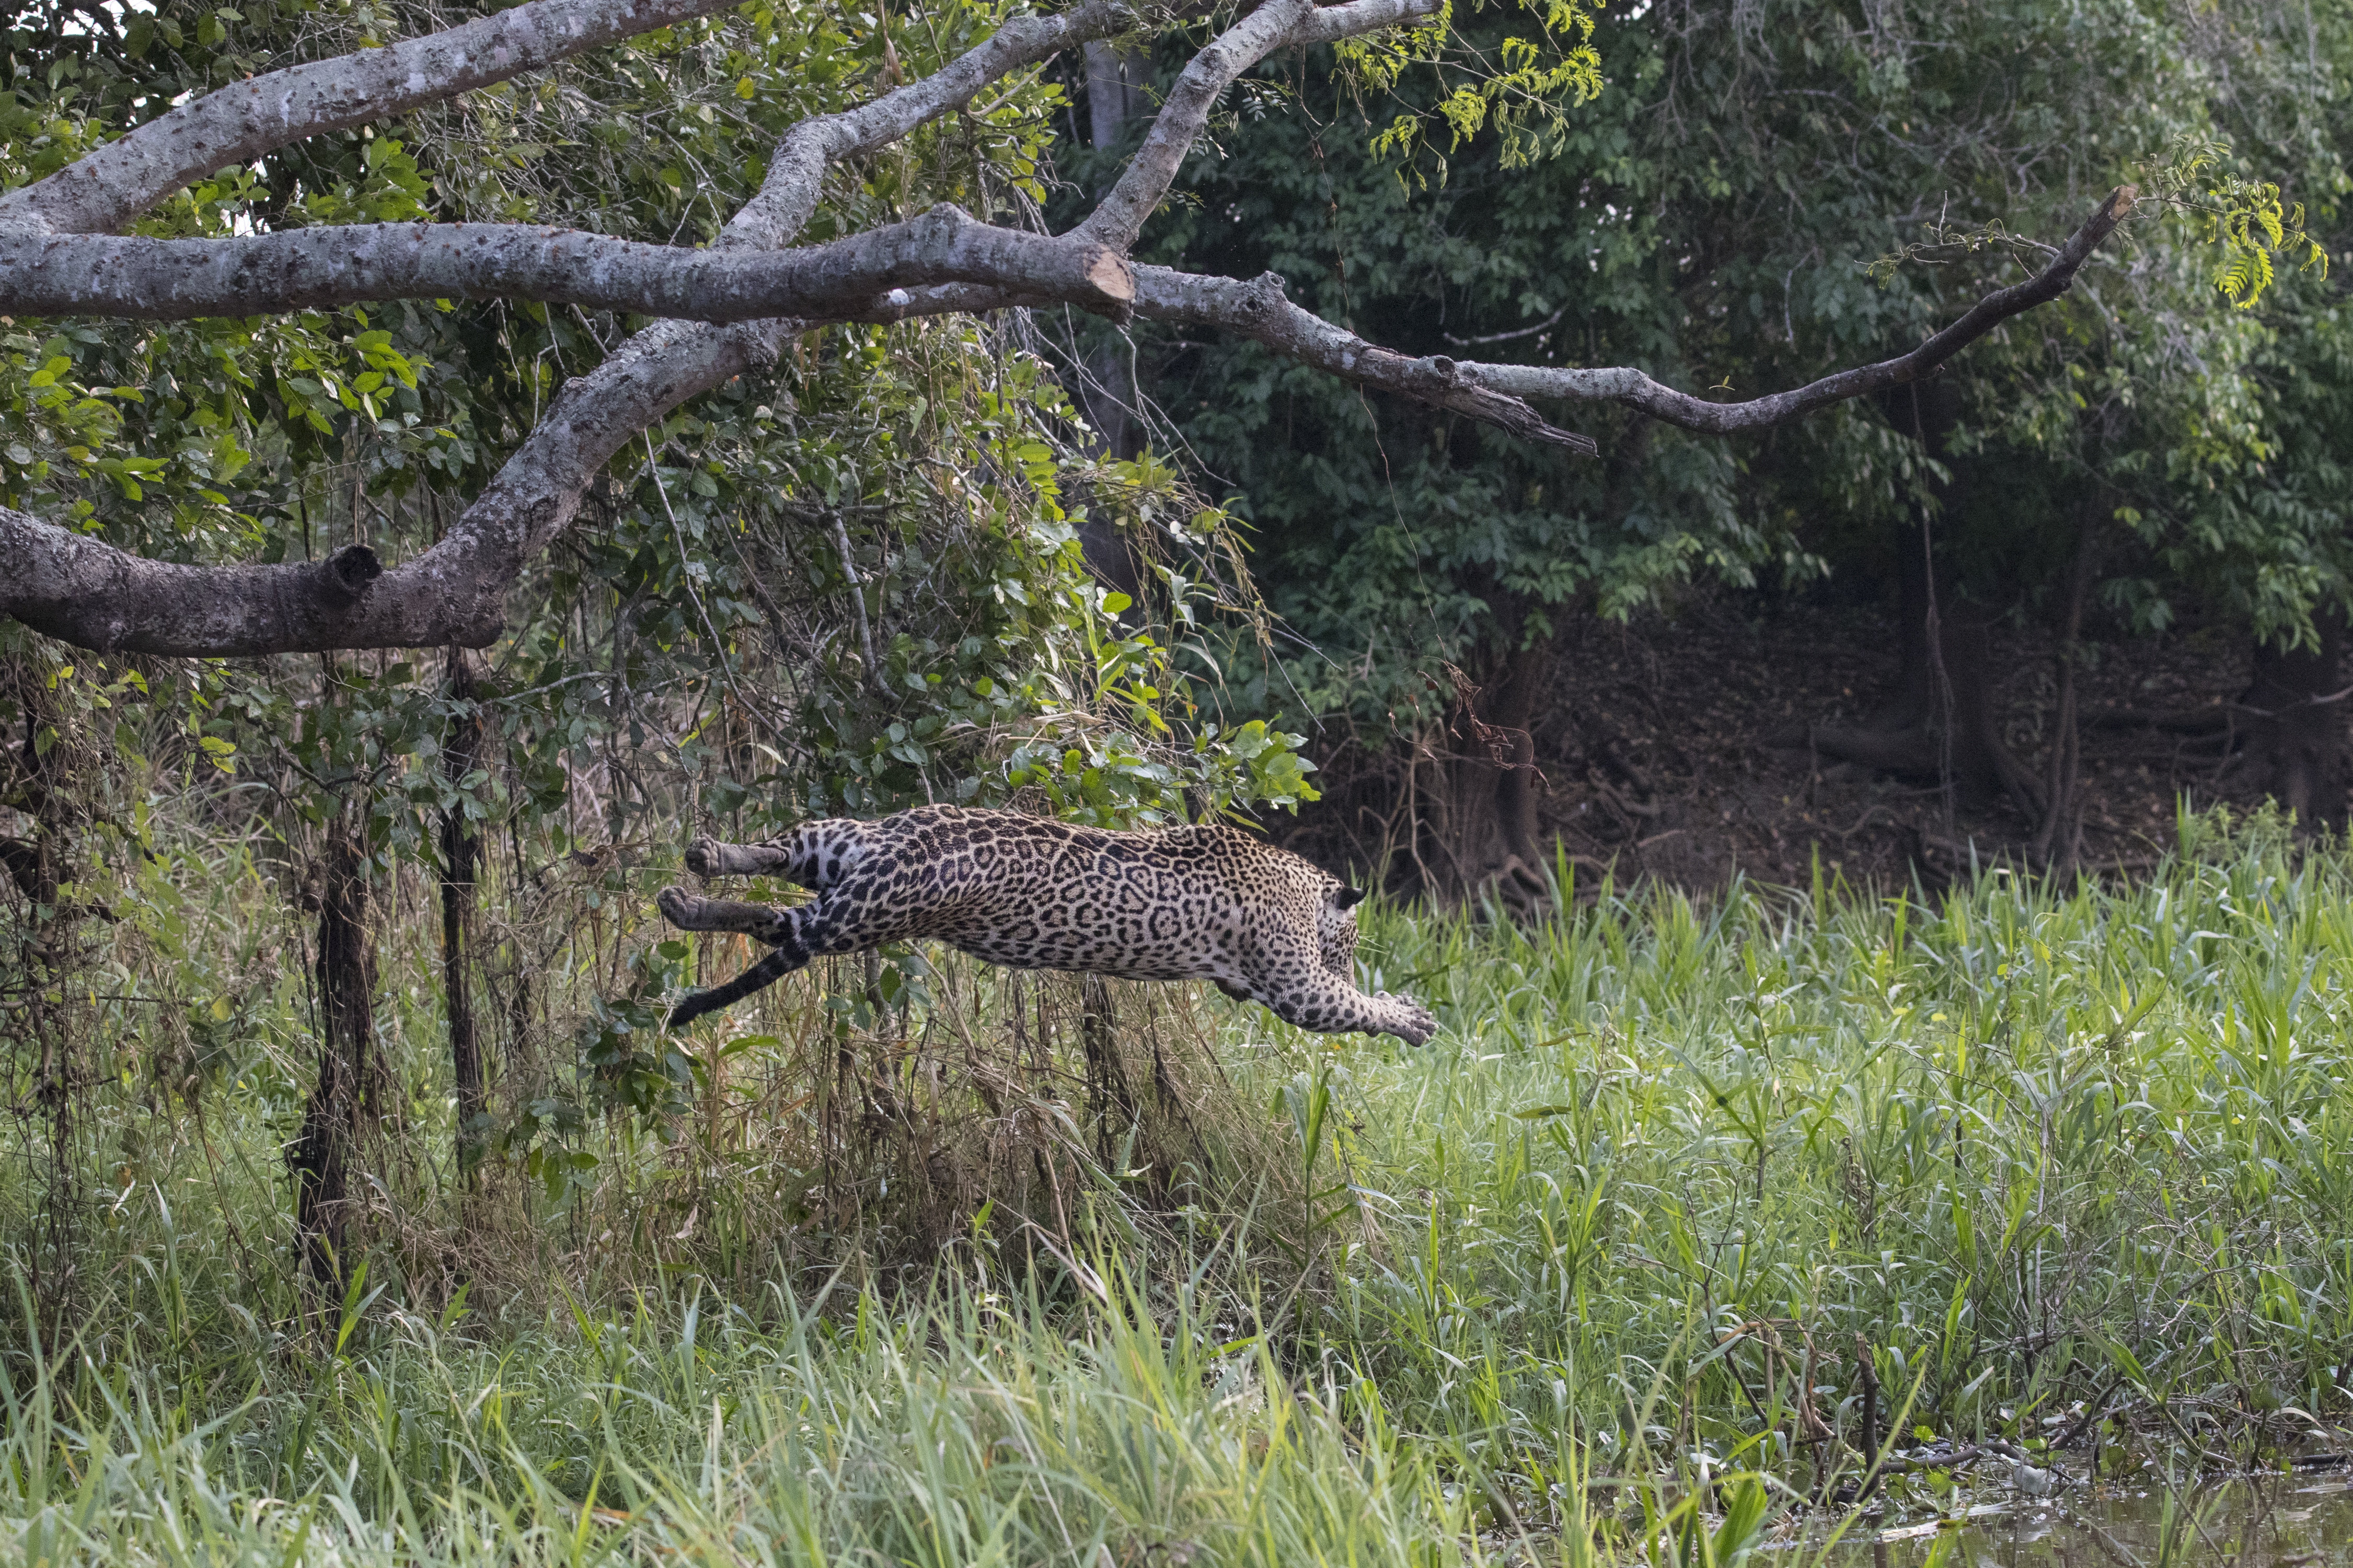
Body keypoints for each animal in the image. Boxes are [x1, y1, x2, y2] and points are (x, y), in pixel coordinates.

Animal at [654, 804, 1438, 1045]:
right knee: (783, 926)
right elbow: (1348, 1007)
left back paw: (700, 871)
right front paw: (1409, 1016)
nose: (1346, 959)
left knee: (780, 872)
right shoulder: (1295, 982)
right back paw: (692, 908)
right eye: (1349, 945)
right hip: (866, 913)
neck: (1294, 882)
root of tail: (898, 845)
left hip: (845, 850)